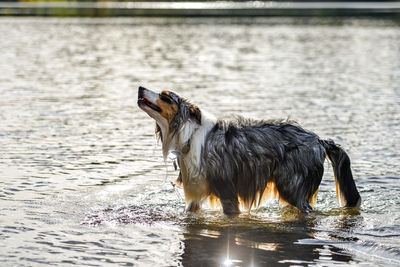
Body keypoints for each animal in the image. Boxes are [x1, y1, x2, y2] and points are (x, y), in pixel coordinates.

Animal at [138, 86, 362, 216]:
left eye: (166, 97)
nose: (140, 87)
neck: (188, 135)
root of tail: (319, 140)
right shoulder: (195, 197)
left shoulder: (227, 192)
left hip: (291, 188)